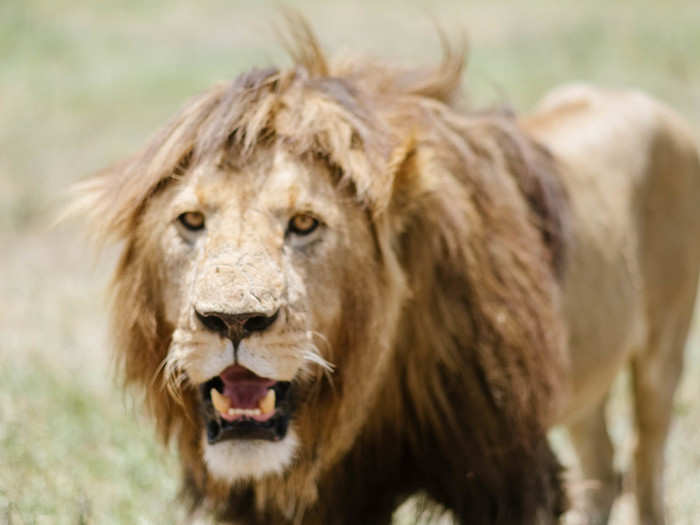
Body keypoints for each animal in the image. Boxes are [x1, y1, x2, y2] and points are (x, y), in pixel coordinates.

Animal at [74, 17, 696, 524]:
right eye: (192, 220)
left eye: (304, 223)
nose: (233, 322)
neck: (369, 386)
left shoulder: (505, 477)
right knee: (604, 465)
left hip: (662, 353)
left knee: (644, 463)